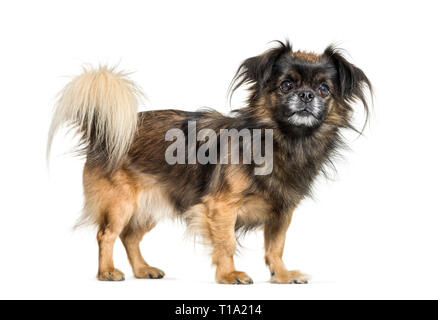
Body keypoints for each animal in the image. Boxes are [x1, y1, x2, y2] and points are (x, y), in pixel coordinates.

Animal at [48, 41, 372, 284]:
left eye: (324, 90)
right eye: (286, 85)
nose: (305, 95)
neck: (284, 141)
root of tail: (103, 131)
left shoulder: (282, 212)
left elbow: (275, 247)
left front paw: (281, 275)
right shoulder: (222, 207)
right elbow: (226, 243)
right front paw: (229, 275)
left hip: (154, 203)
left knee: (130, 237)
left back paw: (142, 270)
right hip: (122, 204)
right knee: (107, 234)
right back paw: (107, 272)